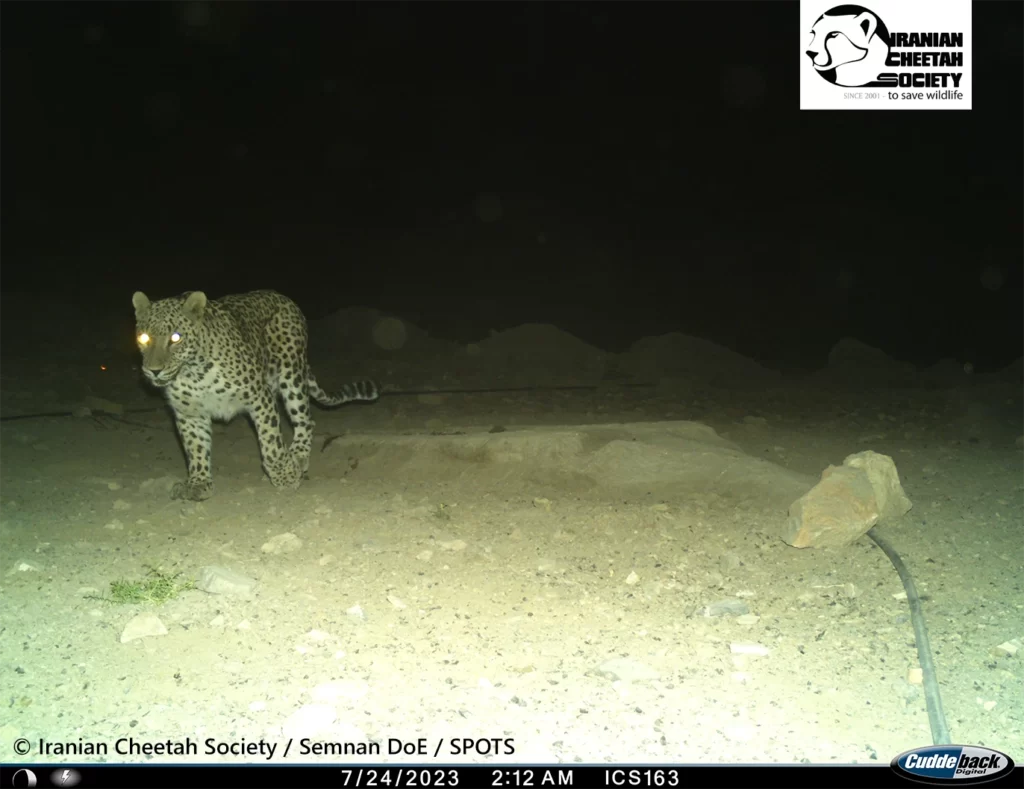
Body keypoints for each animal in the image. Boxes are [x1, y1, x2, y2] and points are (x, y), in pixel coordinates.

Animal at [131, 288, 380, 499]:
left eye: (176, 337)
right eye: (143, 338)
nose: (154, 371)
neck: (193, 373)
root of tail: (283, 297)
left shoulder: (259, 397)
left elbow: (271, 442)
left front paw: (285, 475)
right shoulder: (189, 414)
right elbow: (196, 449)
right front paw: (198, 483)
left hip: (292, 375)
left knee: (306, 420)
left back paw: (298, 456)